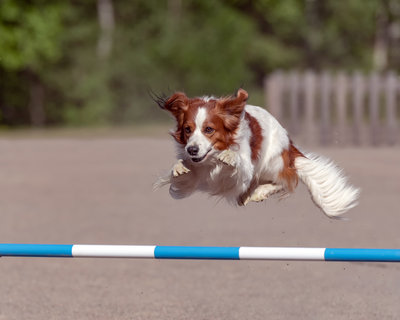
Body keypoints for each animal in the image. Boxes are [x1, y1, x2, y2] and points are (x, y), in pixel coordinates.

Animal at [153, 88, 360, 218]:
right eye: (187, 129)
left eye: (209, 129)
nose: (192, 149)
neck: (211, 161)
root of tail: (289, 144)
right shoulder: (193, 178)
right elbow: (182, 175)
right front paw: (179, 167)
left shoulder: (243, 172)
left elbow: (238, 163)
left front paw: (229, 156)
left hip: (272, 163)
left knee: (287, 181)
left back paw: (260, 192)